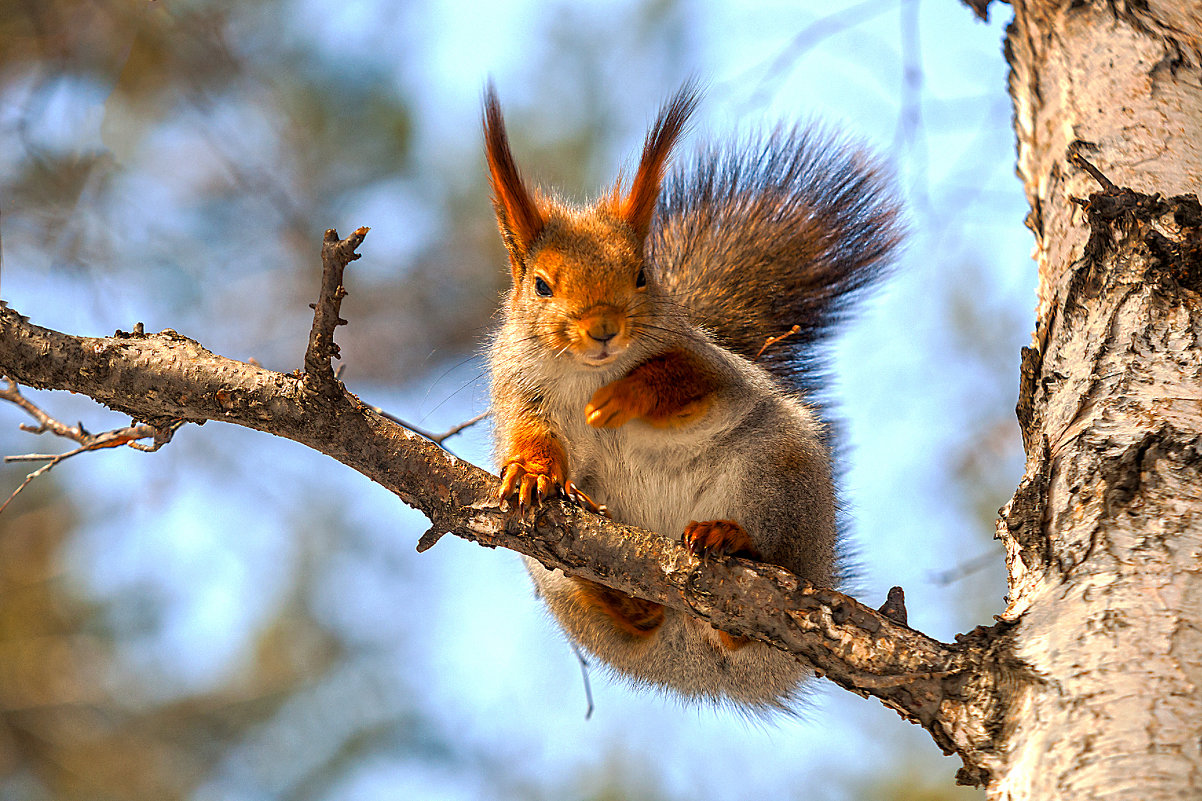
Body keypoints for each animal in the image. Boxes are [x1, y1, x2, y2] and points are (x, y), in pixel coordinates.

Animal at [483, 82, 899, 712]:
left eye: (640, 275)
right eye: (540, 285)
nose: (603, 329)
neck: (586, 373)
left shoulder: (715, 373)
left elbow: (683, 384)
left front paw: (624, 397)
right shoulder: (519, 389)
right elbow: (533, 436)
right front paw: (534, 471)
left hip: (775, 478)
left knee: (759, 585)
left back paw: (730, 541)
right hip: (554, 579)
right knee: (639, 617)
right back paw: (622, 596)